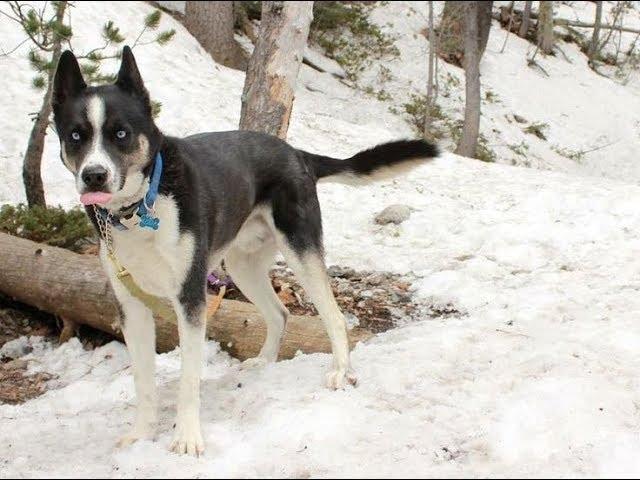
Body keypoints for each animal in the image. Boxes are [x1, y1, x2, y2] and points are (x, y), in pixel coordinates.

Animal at [51, 47, 440, 456]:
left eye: (121, 134)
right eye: (75, 135)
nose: (94, 175)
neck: (141, 207)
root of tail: (296, 152)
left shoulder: (190, 298)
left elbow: (189, 379)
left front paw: (187, 437)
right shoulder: (131, 306)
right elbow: (143, 382)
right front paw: (141, 434)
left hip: (300, 249)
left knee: (333, 316)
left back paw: (340, 371)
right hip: (242, 265)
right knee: (280, 313)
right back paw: (265, 361)